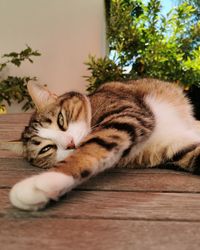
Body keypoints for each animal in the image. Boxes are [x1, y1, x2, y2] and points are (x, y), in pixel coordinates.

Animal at [9, 78, 200, 211]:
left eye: (61, 120)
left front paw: (44, 181)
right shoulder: (171, 147)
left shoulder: (126, 113)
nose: (70, 144)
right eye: (46, 149)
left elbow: (92, 145)